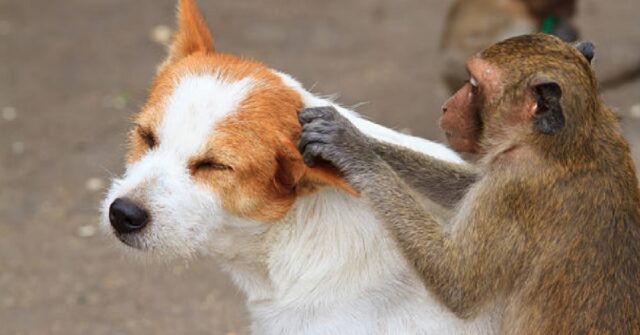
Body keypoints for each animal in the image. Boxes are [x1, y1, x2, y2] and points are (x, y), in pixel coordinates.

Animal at [298, 34, 640, 335]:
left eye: (474, 85)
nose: (447, 106)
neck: (573, 139)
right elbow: (466, 186)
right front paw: (366, 140)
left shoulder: (512, 188)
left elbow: (456, 284)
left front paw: (354, 150)